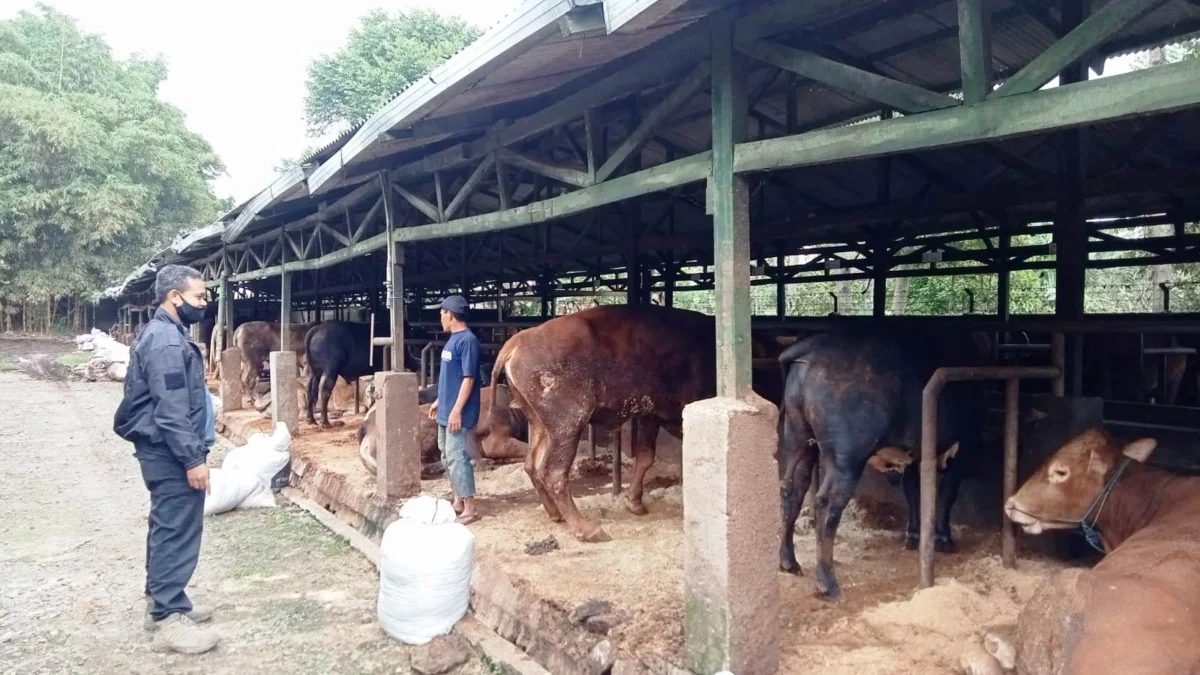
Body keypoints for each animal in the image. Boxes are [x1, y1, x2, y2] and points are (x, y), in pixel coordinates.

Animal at [484, 305, 710, 540]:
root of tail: (517, 341)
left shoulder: (651, 416)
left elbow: (645, 457)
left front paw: (635, 504)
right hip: (568, 427)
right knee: (553, 472)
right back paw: (587, 530)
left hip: (540, 425)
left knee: (531, 464)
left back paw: (556, 515)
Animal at [772, 329, 988, 595]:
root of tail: (812, 345)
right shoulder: (963, 443)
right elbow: (947, 494)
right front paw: (944, 539)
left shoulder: (914, 453)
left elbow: (913, 491)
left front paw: (914, 535)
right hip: (846, 458)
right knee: (827, 502)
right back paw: (828, 584)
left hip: (799, 439)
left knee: (792, 489)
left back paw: (789, 562)